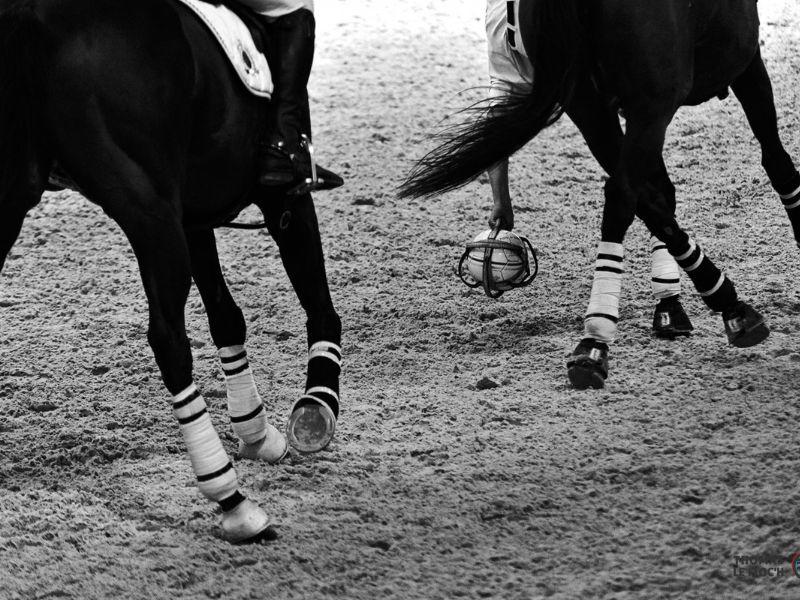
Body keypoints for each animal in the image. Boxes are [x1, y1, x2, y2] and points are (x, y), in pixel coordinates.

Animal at [0, 0, 343, 543]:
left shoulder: (192, 213)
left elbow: (226, 315)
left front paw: (256, 430)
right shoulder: (281, 194)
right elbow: (316, 297)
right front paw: (317, 405)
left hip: (22, 201)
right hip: (148, 210)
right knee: (168, 340)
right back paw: (233, 501)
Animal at [400, 0, 800, 389]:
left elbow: (661, 196)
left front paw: (670, 305)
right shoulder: (741, 62)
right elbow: (777, 163)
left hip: (592, 106)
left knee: (640, 197)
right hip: (649, 103)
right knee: (623, 197)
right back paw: (601, 339)